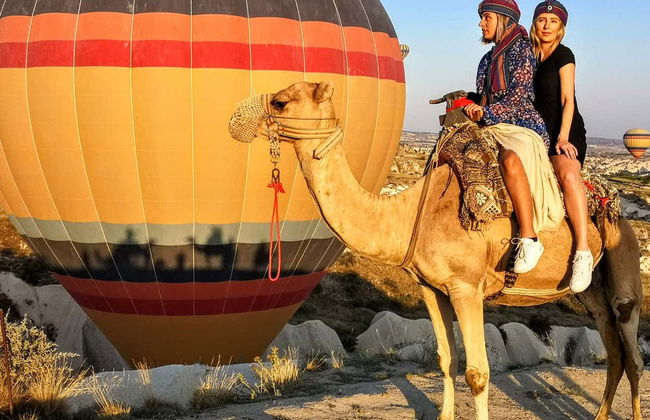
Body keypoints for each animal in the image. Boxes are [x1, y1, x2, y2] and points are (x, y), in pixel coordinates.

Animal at [229, 81, 644, 420]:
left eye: (281, 101)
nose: (236, 119)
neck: (412, 213)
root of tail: (615, 205)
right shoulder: (431, 288)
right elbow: (447, 360)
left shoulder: (466, 286)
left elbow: (478, 372)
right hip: (591, 291)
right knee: (614, 350)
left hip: (624, 265)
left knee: (633, 354)